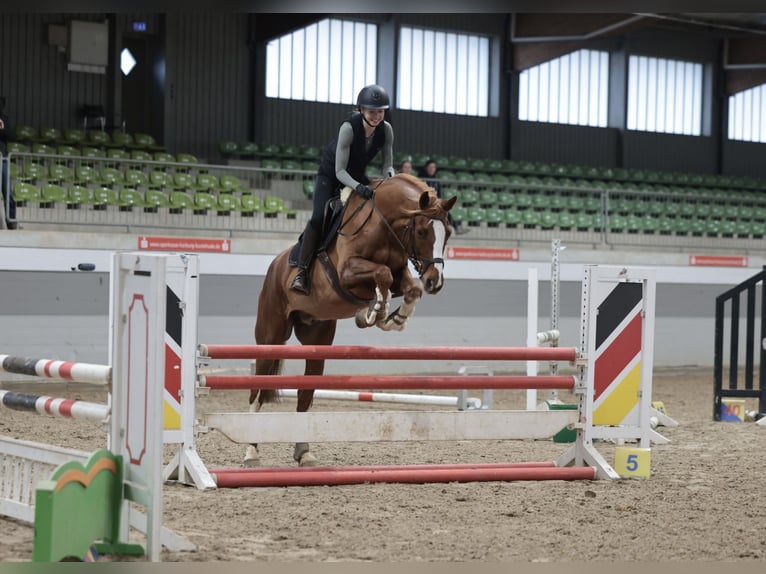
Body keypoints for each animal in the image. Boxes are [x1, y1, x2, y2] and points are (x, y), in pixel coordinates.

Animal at [246, 173, 458, 467]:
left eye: (447, 233)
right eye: (422, 232)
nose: (434, 282)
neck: (385, 227)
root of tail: (275, 265)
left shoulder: (400, 273)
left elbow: (408, 288)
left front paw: (391, 318)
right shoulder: (347, 273)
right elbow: (382, 275)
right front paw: (374, 312)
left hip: (317, 341)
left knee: (305, 393)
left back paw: (304, 452)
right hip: (270, 337)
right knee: (257, 388)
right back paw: (251, 451)